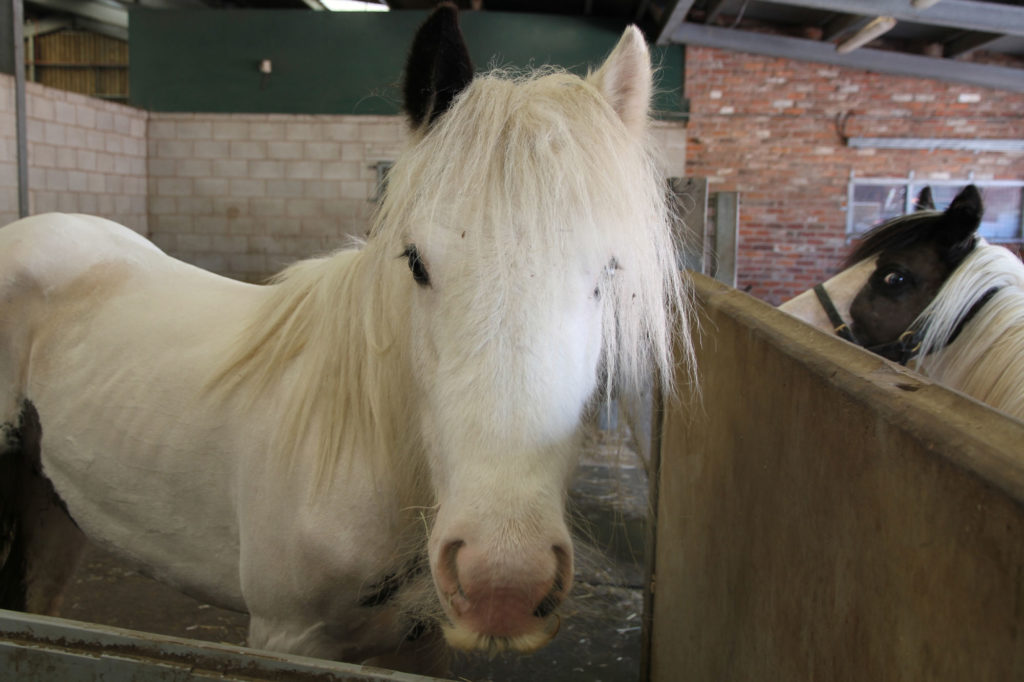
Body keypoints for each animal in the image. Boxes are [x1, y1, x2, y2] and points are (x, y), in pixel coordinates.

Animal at [0, 6, 696, 675]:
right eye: (415, 262)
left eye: (609, 271)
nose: (503, 579)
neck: (365, 449)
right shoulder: (288, 639)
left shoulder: (423, 644)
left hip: (53, 513)